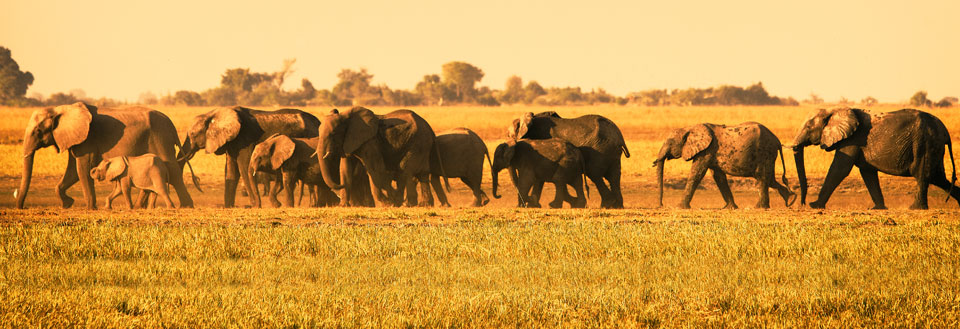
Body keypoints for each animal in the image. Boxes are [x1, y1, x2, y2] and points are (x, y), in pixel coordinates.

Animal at [16, 102, 195, 209]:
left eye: (38, 131)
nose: (21, 206)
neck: (61, 109)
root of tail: (170, 123)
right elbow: (73, 171)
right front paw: (67, 204)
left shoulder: (87, 138)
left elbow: (82, 169)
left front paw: (90, 208)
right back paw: (141, 207)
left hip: (160, 137)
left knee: (173, 171)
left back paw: (186, 206)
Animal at [176, 106, 318, 206]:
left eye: (193, 134)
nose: (197, 181)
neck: (213, 113)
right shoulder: (231, 142)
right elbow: (231, 171)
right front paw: (229, 207)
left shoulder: (245, 139)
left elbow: (243, 167)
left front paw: (255, 206)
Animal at [316, 106, 448, 206]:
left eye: (333, 133)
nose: (336, 187)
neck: (345, 116)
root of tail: (430, 128)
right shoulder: (349, 142)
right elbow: (345, 169)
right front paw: (343, 205)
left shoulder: (370, 142)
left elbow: (374, 169)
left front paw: (387, 203)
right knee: (422, 174)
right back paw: (422, 204)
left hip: (418, 142)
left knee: (405, 169)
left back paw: (403, 203)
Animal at [652, 121, 796, 209]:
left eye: (670, 142)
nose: (661, 205)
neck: (689, 128)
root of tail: (777, 141)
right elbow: (719, 177)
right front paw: (730, 208)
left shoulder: (707, 150)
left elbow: (697, 173)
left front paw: (679, 207)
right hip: (768, 156)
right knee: (769, 179)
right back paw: (789, 199)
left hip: (764, 152)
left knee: (762, 178)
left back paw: (760, 208)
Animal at [792, 109, 956, 209]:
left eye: (808, 127)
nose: (803, 204)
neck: (834, 110)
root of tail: (945, 131)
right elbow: (868, 173)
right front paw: (878, 208)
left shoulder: (852, 140)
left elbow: (839, 169)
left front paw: (815, 205)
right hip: (932, 146)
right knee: (938, 178)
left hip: (924, 143)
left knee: (922, 174)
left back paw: (914, 208)